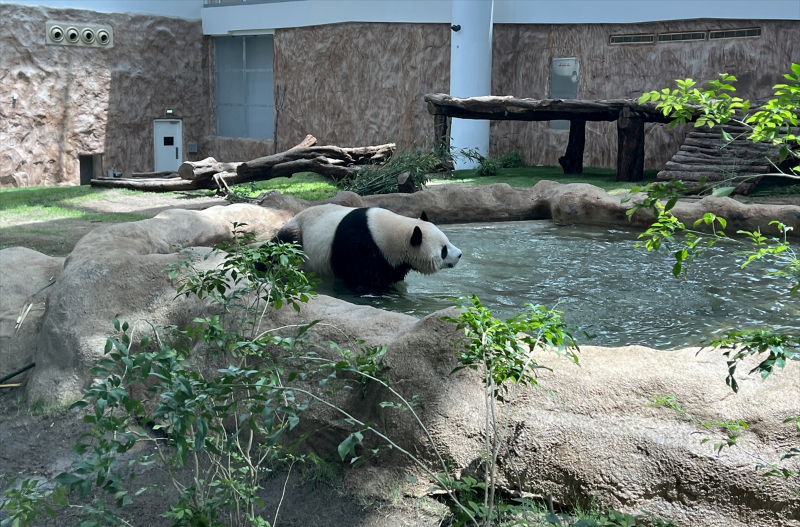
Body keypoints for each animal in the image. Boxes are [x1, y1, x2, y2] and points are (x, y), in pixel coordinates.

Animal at [274, 204, 462, 291]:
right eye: (444, 250)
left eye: (447, 242)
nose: (459, 254)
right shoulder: (360, 246)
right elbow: (363, 279)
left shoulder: (393, 261)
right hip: (298, 234)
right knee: (283, 245)